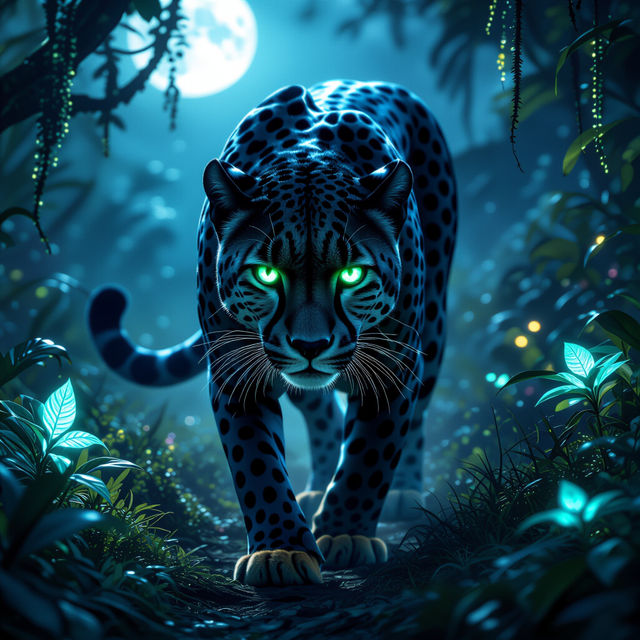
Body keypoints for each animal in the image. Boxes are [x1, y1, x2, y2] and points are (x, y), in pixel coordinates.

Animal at [88, 79, 457, 587]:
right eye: (265, 274)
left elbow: (370, 454)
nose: (310, 346)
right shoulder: (235, 370)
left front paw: (345, 534)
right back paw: (315, 489)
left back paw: (402, 491)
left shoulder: (393, 364)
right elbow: (257, 462)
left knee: (416, 408)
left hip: (433, 326)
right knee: (320, 410)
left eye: (351, 275)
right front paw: (280, 550)